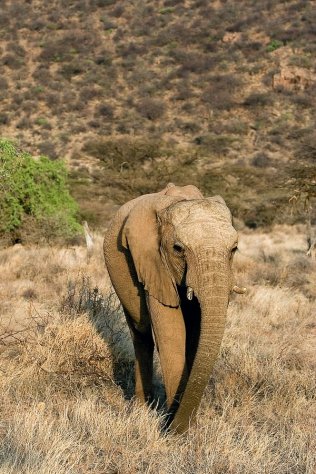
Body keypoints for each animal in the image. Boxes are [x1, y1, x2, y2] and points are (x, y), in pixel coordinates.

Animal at [102, 182, 243, 434]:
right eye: (178, 249)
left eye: (234, 249)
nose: (171, 428)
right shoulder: (152, 262)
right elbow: (171, 332)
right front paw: (176, 430)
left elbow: (196, 333)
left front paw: (186, 426)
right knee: (141, 332)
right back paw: (141, 409)